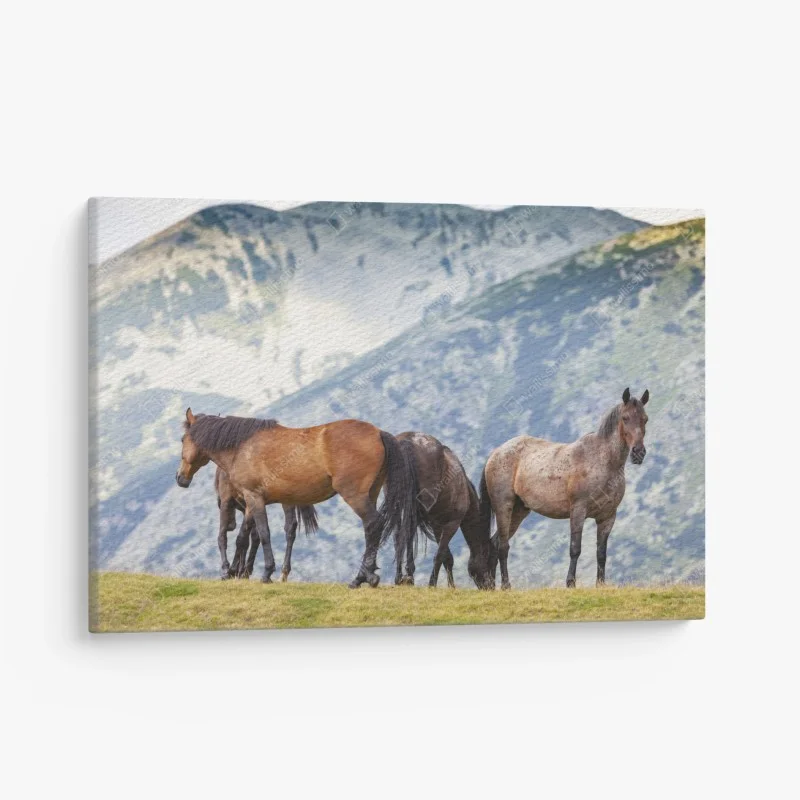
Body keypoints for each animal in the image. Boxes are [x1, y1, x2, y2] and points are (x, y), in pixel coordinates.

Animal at [176, 411, 425, 587]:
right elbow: (247, 536)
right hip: (370, 494)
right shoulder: (252, 503)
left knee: (373, 525)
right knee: (371, 529)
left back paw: (362, 578)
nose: (180, 477)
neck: (243, 446)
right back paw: (367, 575)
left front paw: (266, 572)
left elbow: (263, 534)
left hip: (355, 496)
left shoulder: (254, 498)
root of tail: (379, 433)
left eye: (182, 439)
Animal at [392, 432, 492, 589]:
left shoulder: (438, 526)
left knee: (399, 536)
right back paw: (408, 576)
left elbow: (446, 556)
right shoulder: (452, 523)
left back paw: (401, 577)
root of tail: (408, 440)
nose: (491, 585)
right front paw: (433, 584)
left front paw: (451, 586)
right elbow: (441, 555)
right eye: (489, 558)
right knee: (407, 533)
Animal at [480, 388, 650, 589]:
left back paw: (491, 585)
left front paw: (600, 584)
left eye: (645, 419)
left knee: (494, 542)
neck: (603, 462)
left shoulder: (607, 517)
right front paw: (570, 583)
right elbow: (575, 548)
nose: (638, 453)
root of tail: (496, 453)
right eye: (625, 418)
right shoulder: (578, 511)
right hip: (503, 507)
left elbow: (601, 553)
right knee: (503, 546)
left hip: (519, 511)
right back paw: (506, 585)